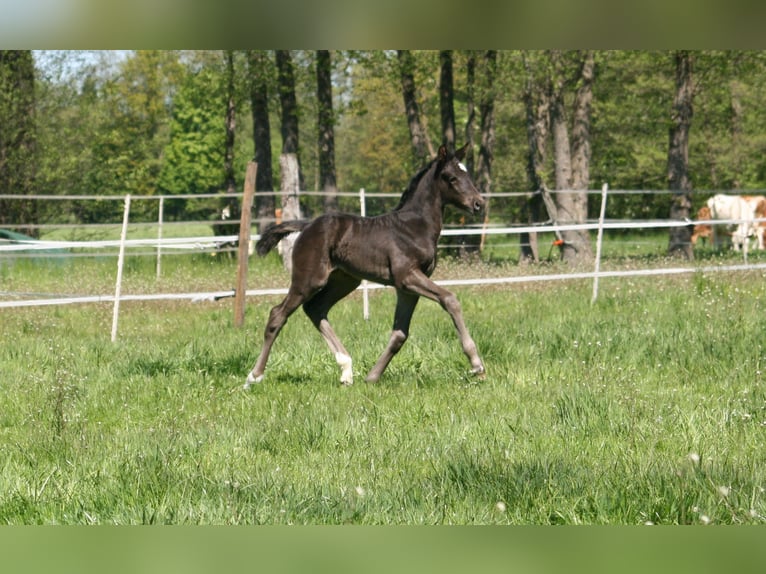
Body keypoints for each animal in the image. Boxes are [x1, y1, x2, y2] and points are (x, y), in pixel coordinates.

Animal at [244, 143, 486, 388]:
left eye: (467, 175)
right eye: (452, 177)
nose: (479, 204)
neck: (414, 226)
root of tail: (307, 225)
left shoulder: (407, 287)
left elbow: (400, 334)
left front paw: (372, 377)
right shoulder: (407, 277)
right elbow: (450, 299)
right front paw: (477, 364)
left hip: (344, 281)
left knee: (315, 309)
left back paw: (346, 370)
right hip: (309, 280)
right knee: (278, 314)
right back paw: (254, 376)